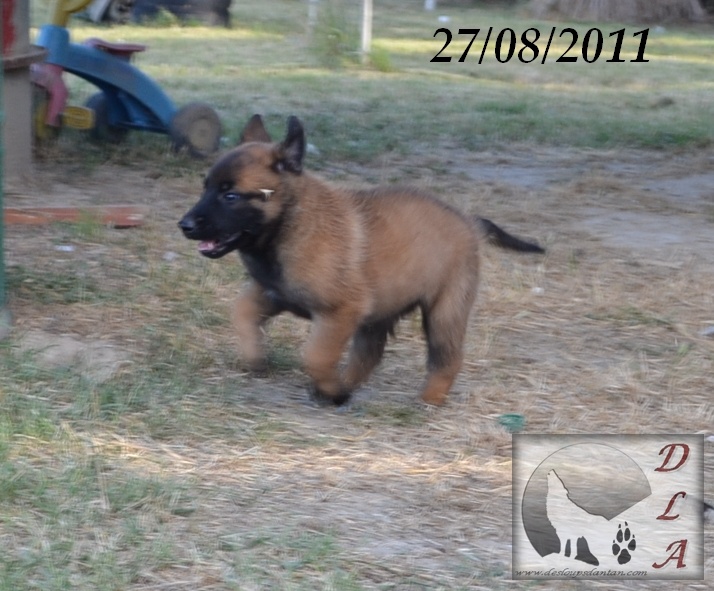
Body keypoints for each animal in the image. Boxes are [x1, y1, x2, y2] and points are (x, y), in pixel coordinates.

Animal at [178, 115, 544, 406]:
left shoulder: (340, 312)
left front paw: (329, 388)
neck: (291, 223)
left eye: (230, 195)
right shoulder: (270, 294)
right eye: (205, 187)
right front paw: (256, 358)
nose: (185, 225)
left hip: (444, 310)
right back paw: (346, 386)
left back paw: (427, 400)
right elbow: (240, 313)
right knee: (370, 353)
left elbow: (316, 356)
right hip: (380, 309)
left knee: (446, 357)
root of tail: (468, 220)